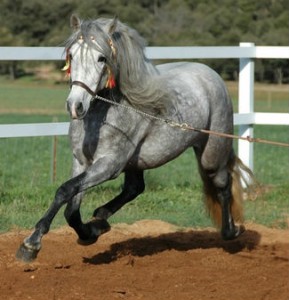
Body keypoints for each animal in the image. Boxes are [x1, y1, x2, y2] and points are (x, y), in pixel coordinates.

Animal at [16, 15, 252, 262]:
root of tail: (210, 73)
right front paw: (90, 232)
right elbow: (71, 206)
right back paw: (100, 218)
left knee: (223, 183)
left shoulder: (109, 165)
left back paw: (231, 231)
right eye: (71, 55)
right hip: (137, 162)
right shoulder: (81, 162)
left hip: (211, 153)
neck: (103, 116)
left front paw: (31, 245)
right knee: (134, 187)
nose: (75, 106)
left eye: (102, 58)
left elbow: (64, 191)